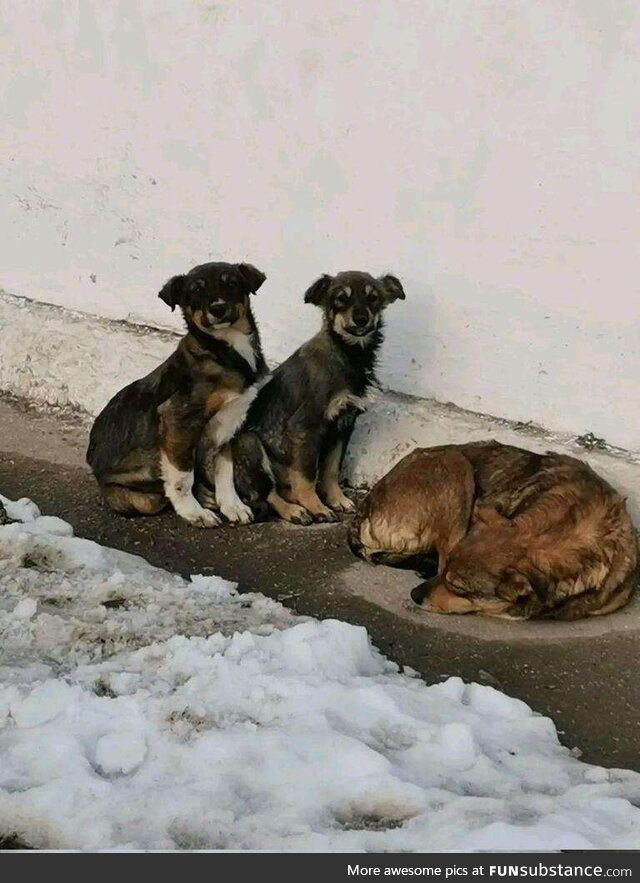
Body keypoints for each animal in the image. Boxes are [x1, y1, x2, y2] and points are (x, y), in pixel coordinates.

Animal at [86, 260, 266, 524]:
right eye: (195, 291)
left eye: (232, 283)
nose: (218, 308)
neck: (223, 349)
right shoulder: (177, 419)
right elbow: (183, 477)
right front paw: (194, 513)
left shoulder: (230, 422)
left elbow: (225, 470)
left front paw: (233, 506)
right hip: (140, 493)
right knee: (156, 495)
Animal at [196, 270, 404, 524]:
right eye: (339, 299)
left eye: (373, 298)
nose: (361, 319)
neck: (349, 354)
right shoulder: (305, 427)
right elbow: (307, 476)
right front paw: (317, 507)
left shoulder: (344, 424)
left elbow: (331, 469)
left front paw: (337, 499)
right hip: (249, 443)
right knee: (267, 492)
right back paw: (294, 510)